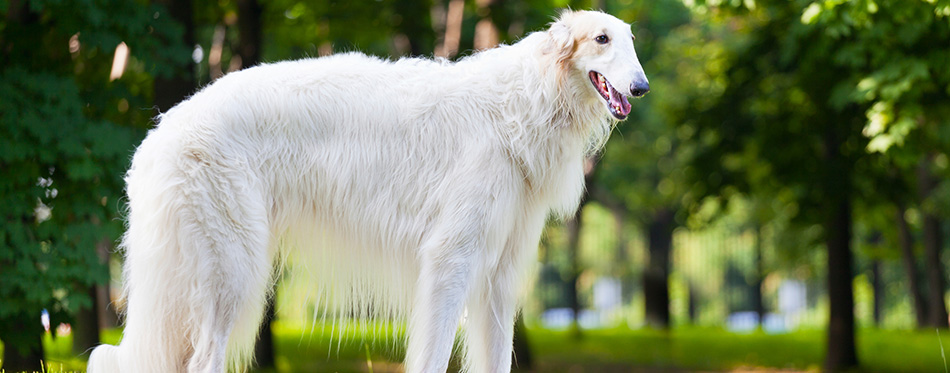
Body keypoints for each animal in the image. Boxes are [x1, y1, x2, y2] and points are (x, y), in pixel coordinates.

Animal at [89, 9, 652, 372]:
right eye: (601, 39)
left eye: (630, 41)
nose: (642, 87)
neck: (522, 103)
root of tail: (160, 135)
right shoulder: (450, 259)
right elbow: (431, 356)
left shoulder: (498, 275)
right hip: (232, 271)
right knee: (202, 359)